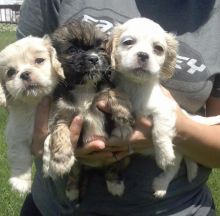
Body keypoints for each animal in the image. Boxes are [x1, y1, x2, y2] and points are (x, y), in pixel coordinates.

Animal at [0, 36, 64, 193]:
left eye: (39, 60)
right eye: (10, 72)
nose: (24, 74)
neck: (34, 105)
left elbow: (50, 137)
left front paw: (51, 166)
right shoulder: (16, 133)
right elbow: (19, 154)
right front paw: (20, 182)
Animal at [107, 17, 220, 198]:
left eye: (158, 49)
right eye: (128, 42)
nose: (143, 55)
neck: (137, 86)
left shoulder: (165, 110)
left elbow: (159, 131)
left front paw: (164, 155)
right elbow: (119, 111)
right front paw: (122, 128)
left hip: (178, 150)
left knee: (173, 168)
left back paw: (161, 184)